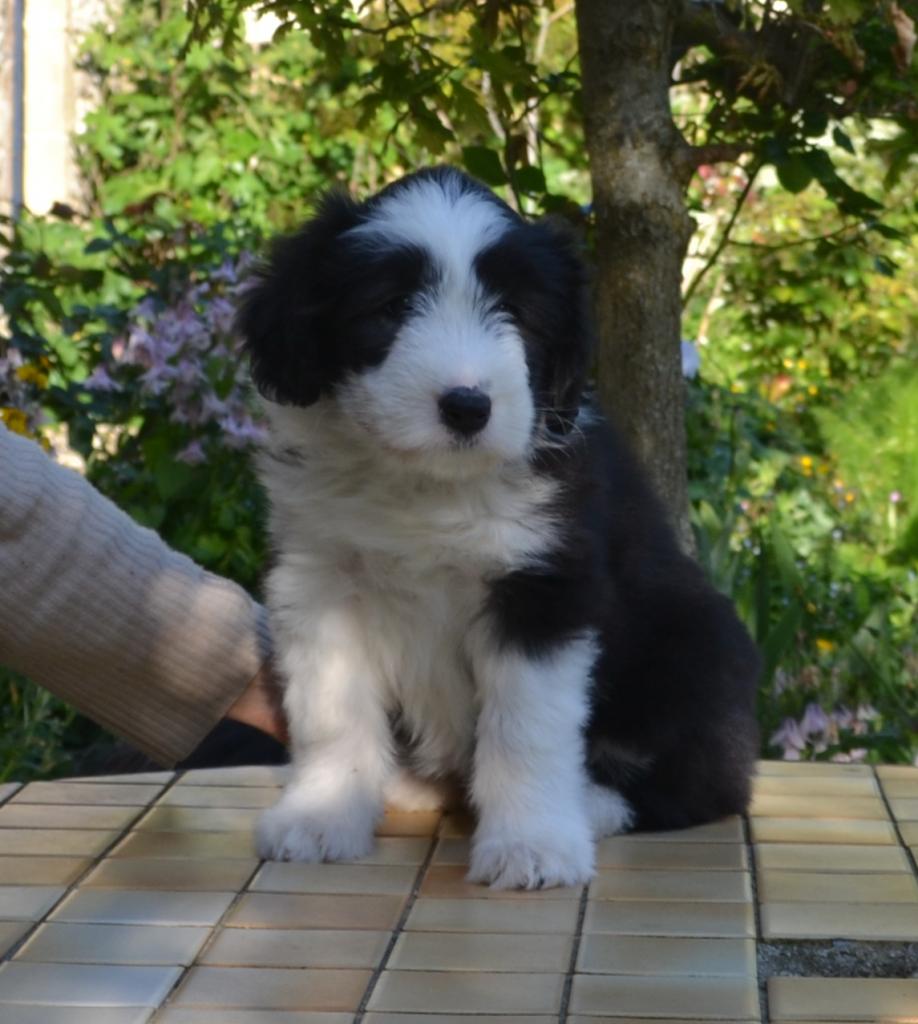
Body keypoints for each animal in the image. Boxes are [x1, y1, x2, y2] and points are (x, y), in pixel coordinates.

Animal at [238, 167, 762, 888]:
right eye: (391, 309)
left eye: (517, 312)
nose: (467, 406)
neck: (430, 488)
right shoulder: (321, 579)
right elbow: (330, 708)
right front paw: (322, 815)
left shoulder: (543, 585)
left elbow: (525, 725)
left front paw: (531, 845)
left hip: (696, 645)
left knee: (706, 783)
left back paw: (591, 804)